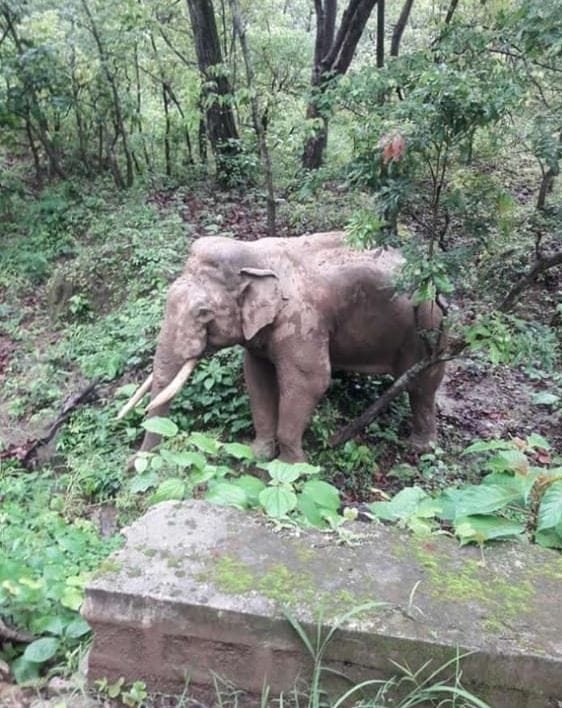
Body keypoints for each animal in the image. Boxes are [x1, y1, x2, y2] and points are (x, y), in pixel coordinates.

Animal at [117, 231, 445, 463]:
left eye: (203, 313)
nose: (135, 463)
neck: (255, 255)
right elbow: (257, 377)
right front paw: (257, 454)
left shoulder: (301, 321)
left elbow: (309, 380)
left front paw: (291, 468)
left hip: (428, 323)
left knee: (422, 382)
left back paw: (421, 447)